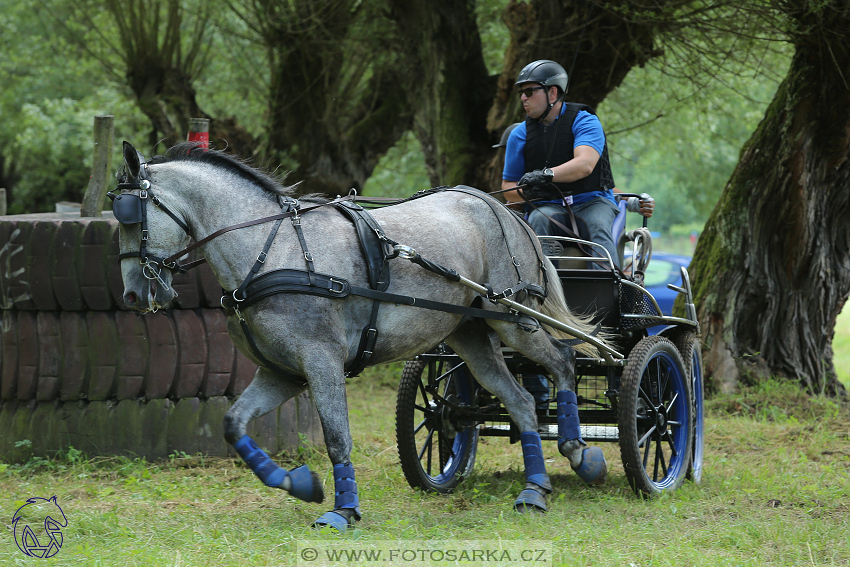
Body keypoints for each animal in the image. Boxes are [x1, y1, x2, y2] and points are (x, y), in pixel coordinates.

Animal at [116, 143, 608, 532]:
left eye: (130, 217)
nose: (133, 294)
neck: (271, 250)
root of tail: (502, 209)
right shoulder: (283, 373)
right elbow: (234, 423)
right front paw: (300, 484)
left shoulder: (321, 362)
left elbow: (337, 437)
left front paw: (343, 510)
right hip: (471, 335)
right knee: (522, 402)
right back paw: (534, 489)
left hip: (513, 318)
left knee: (562, 362)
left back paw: (579, 453)